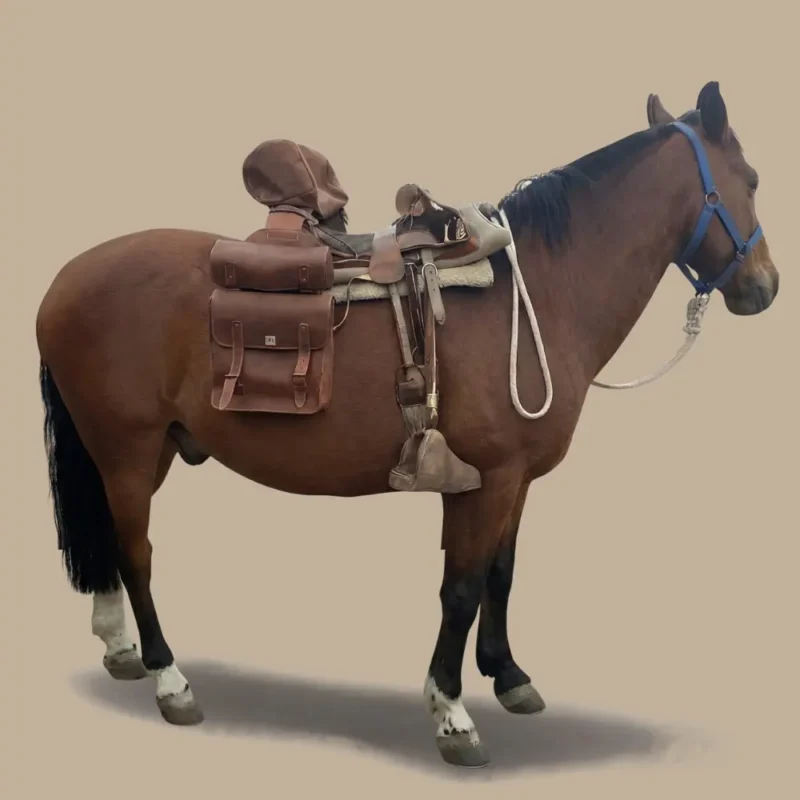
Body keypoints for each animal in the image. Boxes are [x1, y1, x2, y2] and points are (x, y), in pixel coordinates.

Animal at [35, 81, 778, 768]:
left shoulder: (512, 481)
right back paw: (169, 678)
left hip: (141, 450)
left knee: (112, 541)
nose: (764, 287)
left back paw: (121, 648)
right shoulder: (488, 479)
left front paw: (508, 676)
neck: (541, 292)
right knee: (137, 553)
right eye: (751, 180)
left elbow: (501, 572)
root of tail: (64, 280)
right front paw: (451, 712)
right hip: (128, 448)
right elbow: (462, 587)